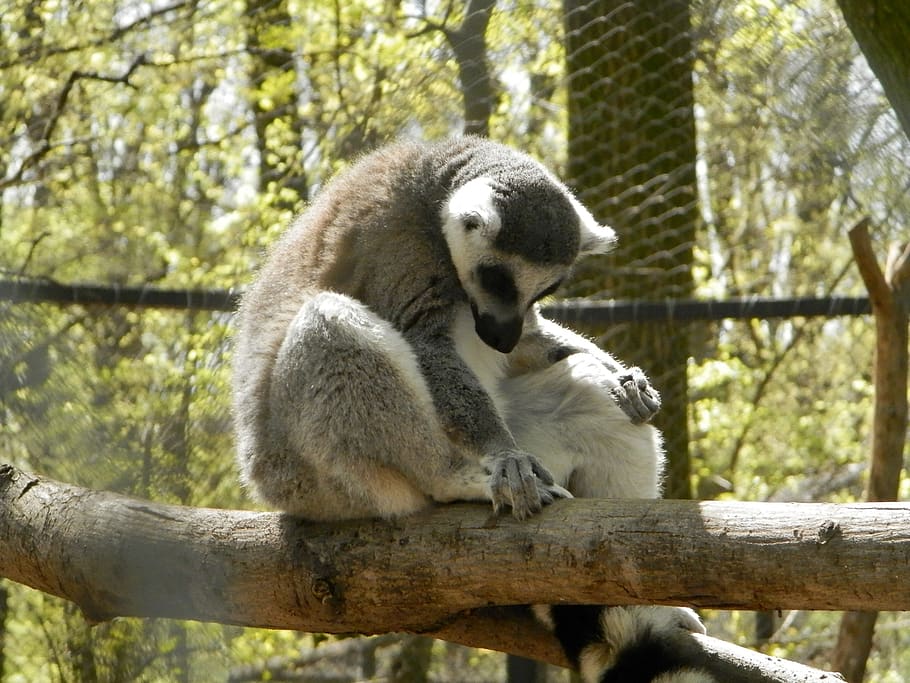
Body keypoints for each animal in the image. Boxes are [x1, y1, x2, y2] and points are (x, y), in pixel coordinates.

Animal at [232, 137, 714, 682]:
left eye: (544, 290)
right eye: (497, 279)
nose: (498, 336)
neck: (435, 179)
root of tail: (266, 481)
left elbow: (538, 340)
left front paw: (624, 375)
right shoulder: (399, 246)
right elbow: (428, 344)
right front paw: (504, 456)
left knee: (597, 403)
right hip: (316, 475)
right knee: (328, 325)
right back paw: (458, 477)